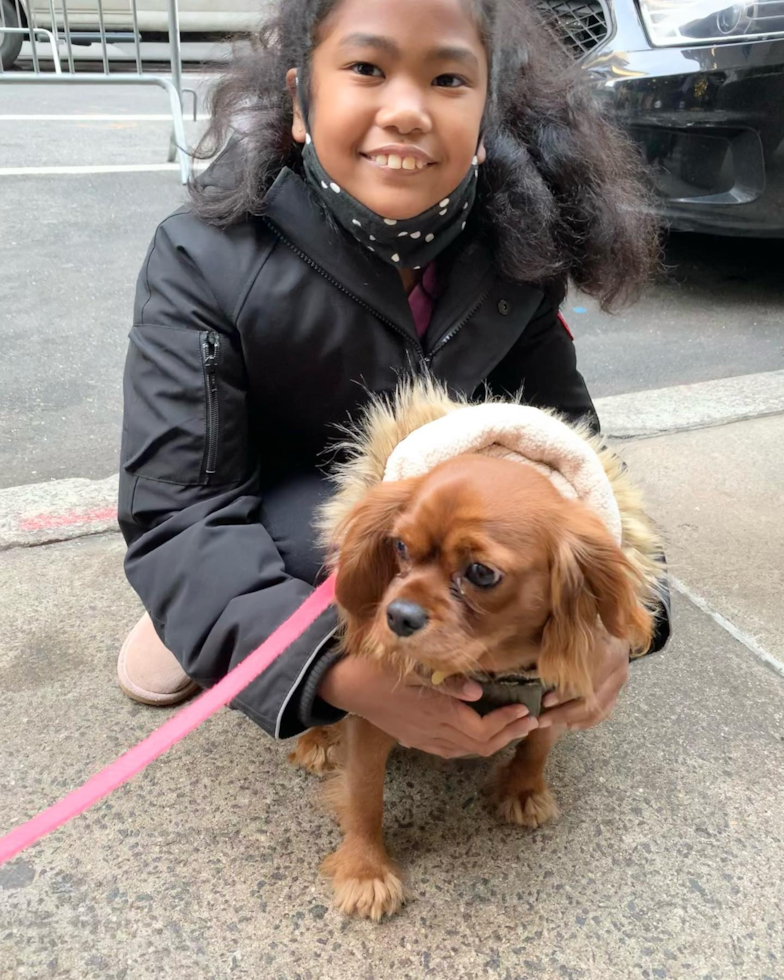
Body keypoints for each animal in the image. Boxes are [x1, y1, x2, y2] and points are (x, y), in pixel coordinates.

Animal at [290, 452, 652, 920]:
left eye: (480, 572)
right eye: (399, 546)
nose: (397, 614)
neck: (494, 670)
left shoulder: (557, 695)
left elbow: (538, 744)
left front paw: (523, 788)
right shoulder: (375, 717)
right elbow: (365, 795)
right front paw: (365, 870)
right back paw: (319, 739)